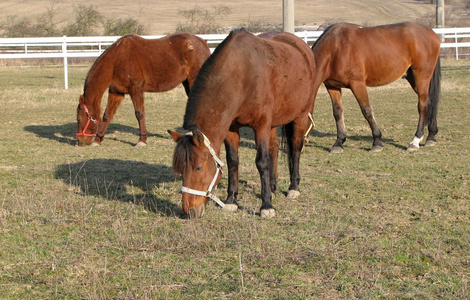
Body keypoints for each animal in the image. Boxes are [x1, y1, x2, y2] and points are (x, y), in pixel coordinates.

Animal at [76, 33, 209, 147]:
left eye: (79, 118)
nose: (79, 141)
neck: (118, 59)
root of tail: (203, 42)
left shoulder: (136, 90)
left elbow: (139, 114)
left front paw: (142, 140)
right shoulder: (116, 93)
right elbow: (107, 115)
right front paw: (97, 140)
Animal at [167, 28, 318, 218]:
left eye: (198, 168)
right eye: (180, 170)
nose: (190, 211)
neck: (243, 75)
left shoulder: (261, 125)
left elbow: (262, 162)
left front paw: (266, 205)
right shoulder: (232, 128)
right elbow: (233, 161)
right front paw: (231, 200)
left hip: (301, 115)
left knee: (295, 148)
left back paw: (293, 188)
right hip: (274, 122)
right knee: (274, 148)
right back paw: (273, 188)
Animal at [312, 21, 440, 152]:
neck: (335, 47)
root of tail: (432, 33)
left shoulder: (357, 84)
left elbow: (367, 110)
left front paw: (377, 142)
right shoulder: (332, 86)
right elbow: (337, 112)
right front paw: (338, 142)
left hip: (422, 76)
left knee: (423, 104)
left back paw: (415, 141)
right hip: (413, 79)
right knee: (430, 102)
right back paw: (431, 136)